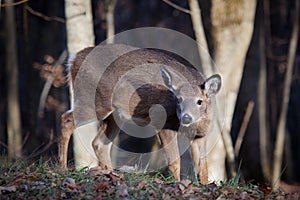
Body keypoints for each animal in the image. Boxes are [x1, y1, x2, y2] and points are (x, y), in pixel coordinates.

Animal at [58, 45, 221, 181]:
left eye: (199, 101)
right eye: (179, 99)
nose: (186, 118)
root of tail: (73, 60)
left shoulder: (200, 136)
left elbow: (203, 167)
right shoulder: (163, 123)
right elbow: (175, 161)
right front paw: (177, 184)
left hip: (114, 116)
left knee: (98, 143)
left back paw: (110, 173)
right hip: (96, 102)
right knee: (66, 119)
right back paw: (63, 168)